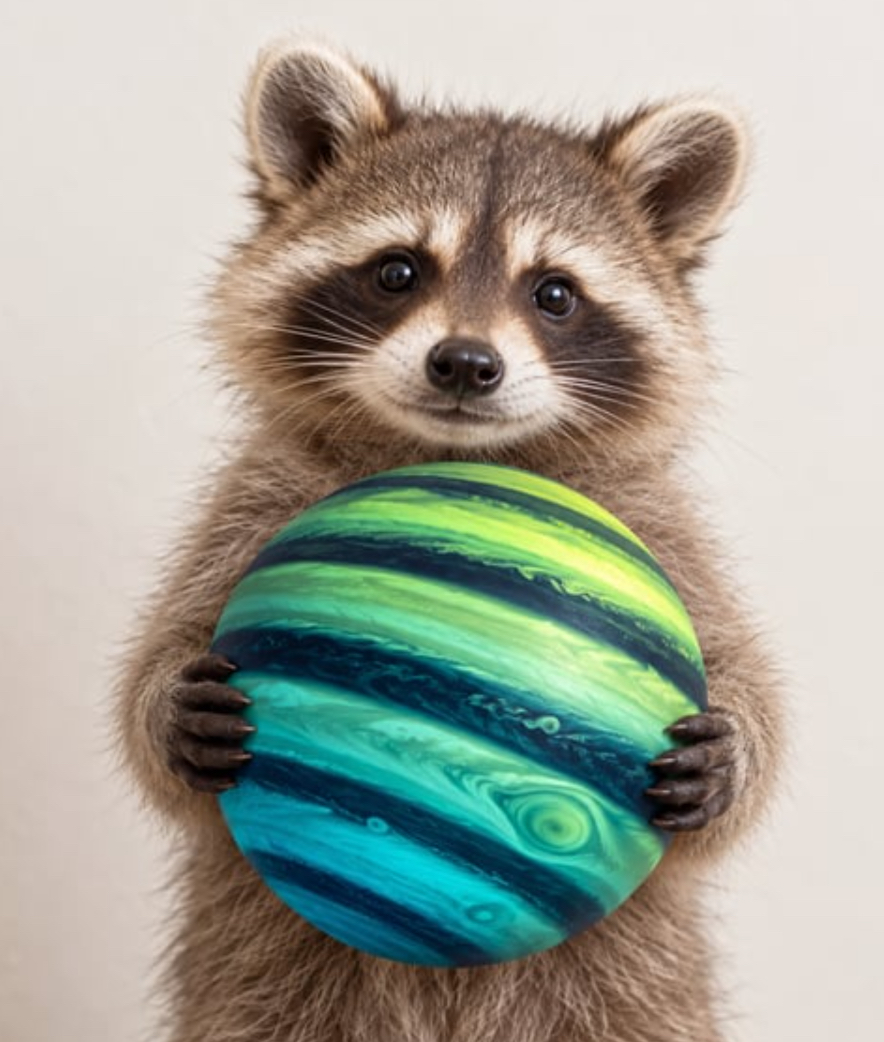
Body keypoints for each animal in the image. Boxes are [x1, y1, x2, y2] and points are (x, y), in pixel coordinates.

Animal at [113, 37, 784, 1042]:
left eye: (554, 294)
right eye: (398, 271)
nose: (466, 363)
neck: (452, 454)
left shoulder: (661, 529)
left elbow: (748, 682)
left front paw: (736, 749)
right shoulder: (249, 503)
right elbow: (156, 665)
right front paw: (165, 708)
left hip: (640, 983)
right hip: (253, 980)